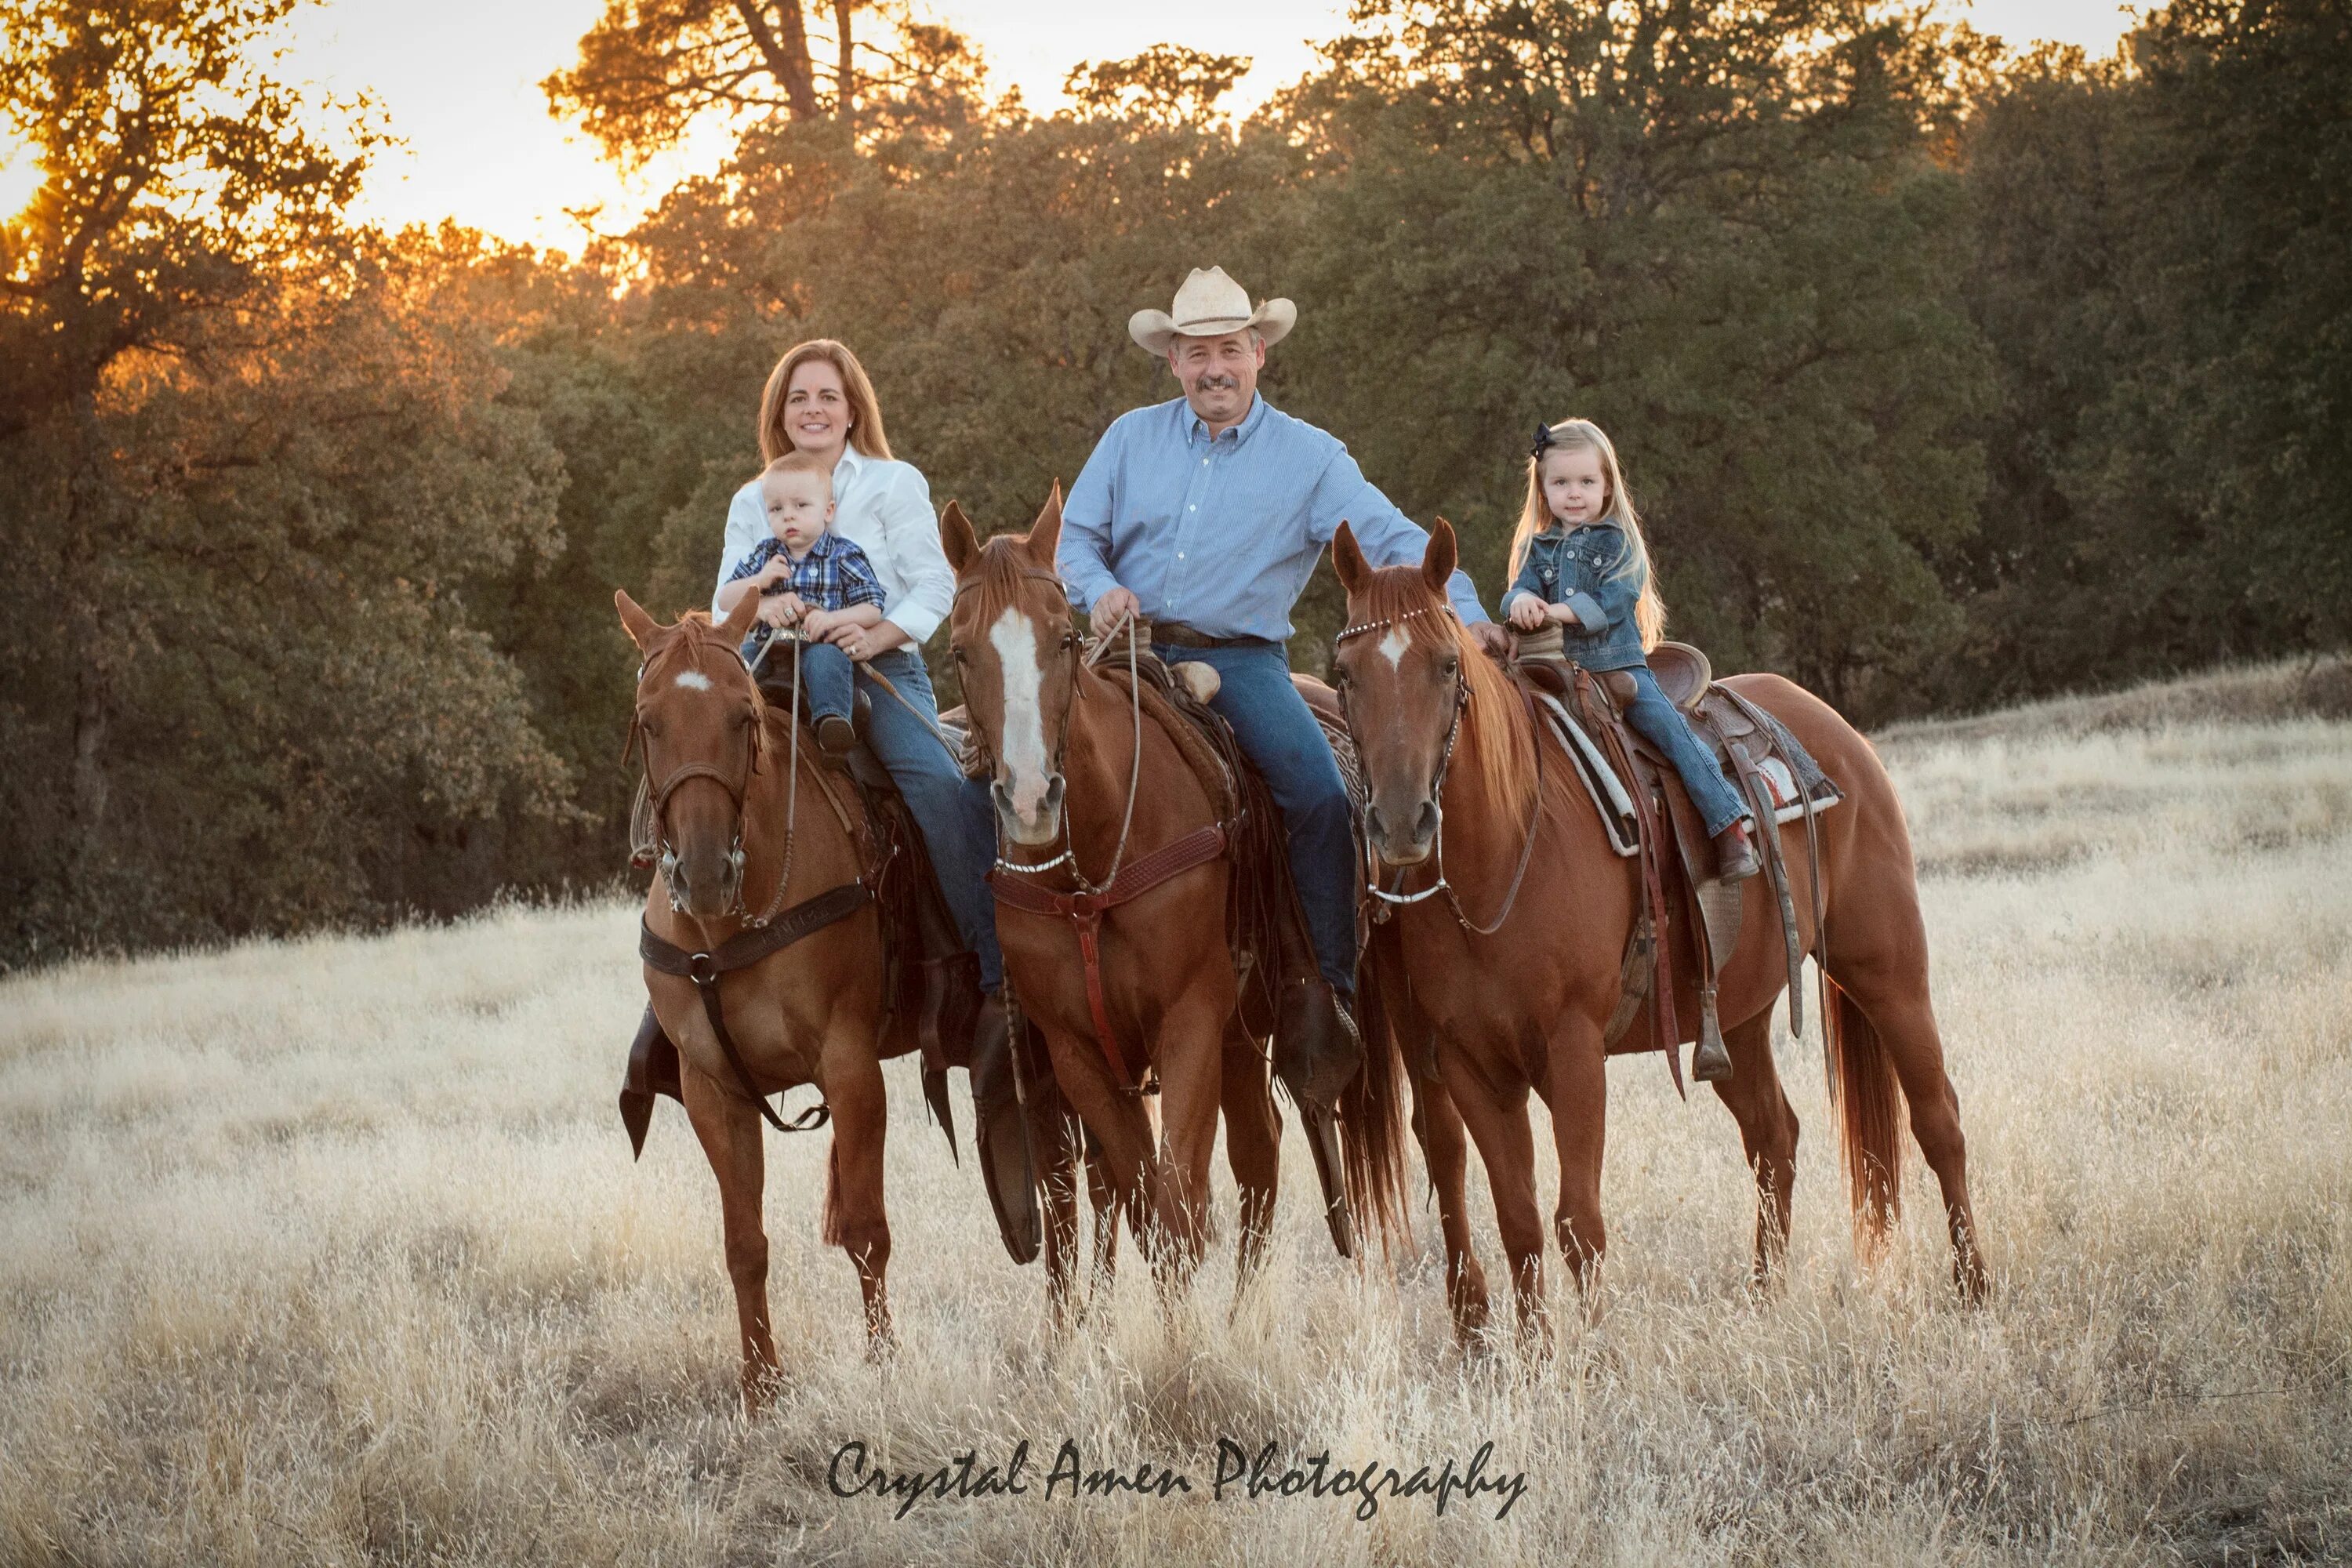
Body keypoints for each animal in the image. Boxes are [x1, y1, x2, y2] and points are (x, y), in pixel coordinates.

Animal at [612, 587, 894, 1410]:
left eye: (743, 716)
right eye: (649, 720)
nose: (704, 873)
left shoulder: (852, 1070)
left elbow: (866, 1229)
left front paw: (886, 1364)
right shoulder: (715, 1091)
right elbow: (745, 1245)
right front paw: (761, 1384)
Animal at [946, 495, 1402, 1307]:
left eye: (1064, 638)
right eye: (963, 651)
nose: (1031, 799)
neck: (1091, 871)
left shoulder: (1189, 1019)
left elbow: (1179, 1204)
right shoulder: (1077, 1050)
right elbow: (1143, 1203)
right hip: (1240, 1038)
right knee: (1259, 1152)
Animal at [1327, 526, 1985, 1335]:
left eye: (1447, 665)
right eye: (1345, 673)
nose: (1399, 822)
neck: (1505, 853)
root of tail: (1831, 728)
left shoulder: (1574, 1051)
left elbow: (1579, 1222)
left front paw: (1596, 1354)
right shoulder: (1470, 1065)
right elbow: (1519, 1221)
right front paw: (1536, 1354)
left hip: (1888, 972)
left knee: (1939, 1121)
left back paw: (1975, 1287)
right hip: (1736, 1017)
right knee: (1774, 1137)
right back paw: (1764, 1297)